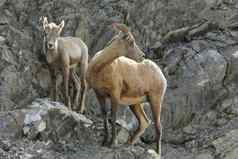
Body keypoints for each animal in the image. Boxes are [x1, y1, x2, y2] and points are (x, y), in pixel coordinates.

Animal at [86, 23, 167, 155]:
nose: (142, 56)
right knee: (144, 122)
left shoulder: (114, 95)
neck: (100, 69)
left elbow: (113, 116)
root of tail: (161, 75)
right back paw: (128, 144)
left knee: (158, 126)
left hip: (155, 100)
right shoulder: (99, 94)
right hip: (135, 104)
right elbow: (104, 115)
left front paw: (112, 143)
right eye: (131, 41)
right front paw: (104, 142)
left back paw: (157, 152)